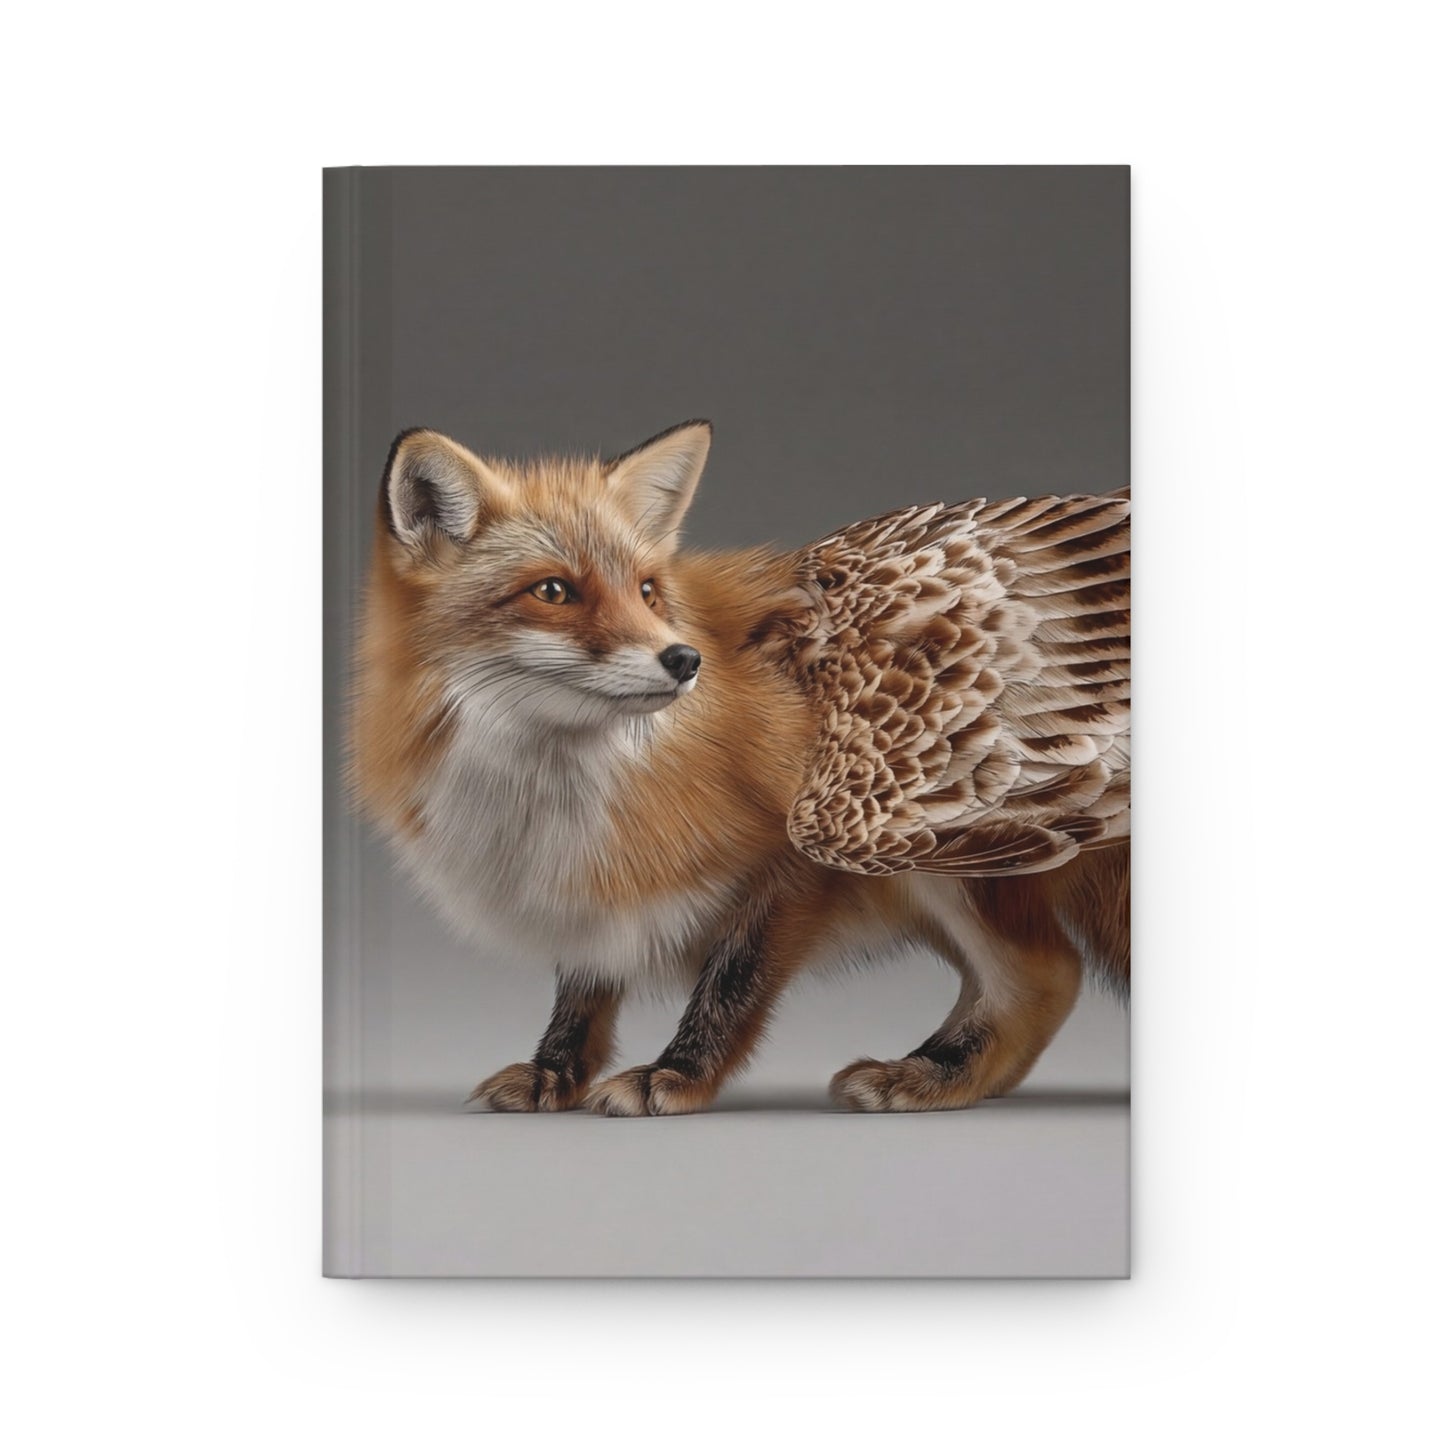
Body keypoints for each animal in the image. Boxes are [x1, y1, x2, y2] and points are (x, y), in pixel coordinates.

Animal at [349, 420, 1130, 1115]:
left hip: (933, 847)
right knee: (1045, 978)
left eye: (647, 590)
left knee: (1045, 975)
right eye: (552, 591)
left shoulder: (793, 867)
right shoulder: (594, 881)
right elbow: (583, 991)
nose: (683, 659)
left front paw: (677, 1075)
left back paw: (931, 1075)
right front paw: (555, 1072)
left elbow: (730, 983)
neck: (553, 795)